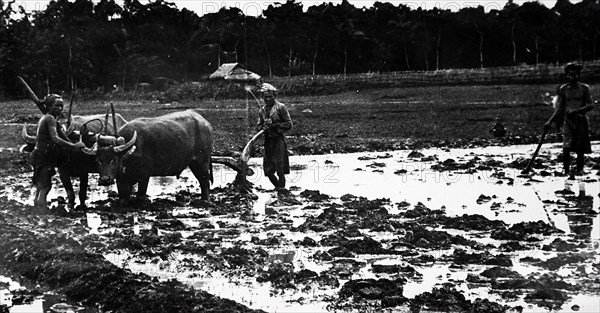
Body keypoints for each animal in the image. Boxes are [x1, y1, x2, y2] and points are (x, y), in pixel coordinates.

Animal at [82, 109, 213, 202]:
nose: (105, 179)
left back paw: (204, 200)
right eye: (98, 160)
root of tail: (206, 124)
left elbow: (140, 196)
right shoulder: (121, 180)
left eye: (113, 160)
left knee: (204, 181)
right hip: (194, 163)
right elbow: (123, 198)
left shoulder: (145, 176)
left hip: (202, 161)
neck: (128, 154)